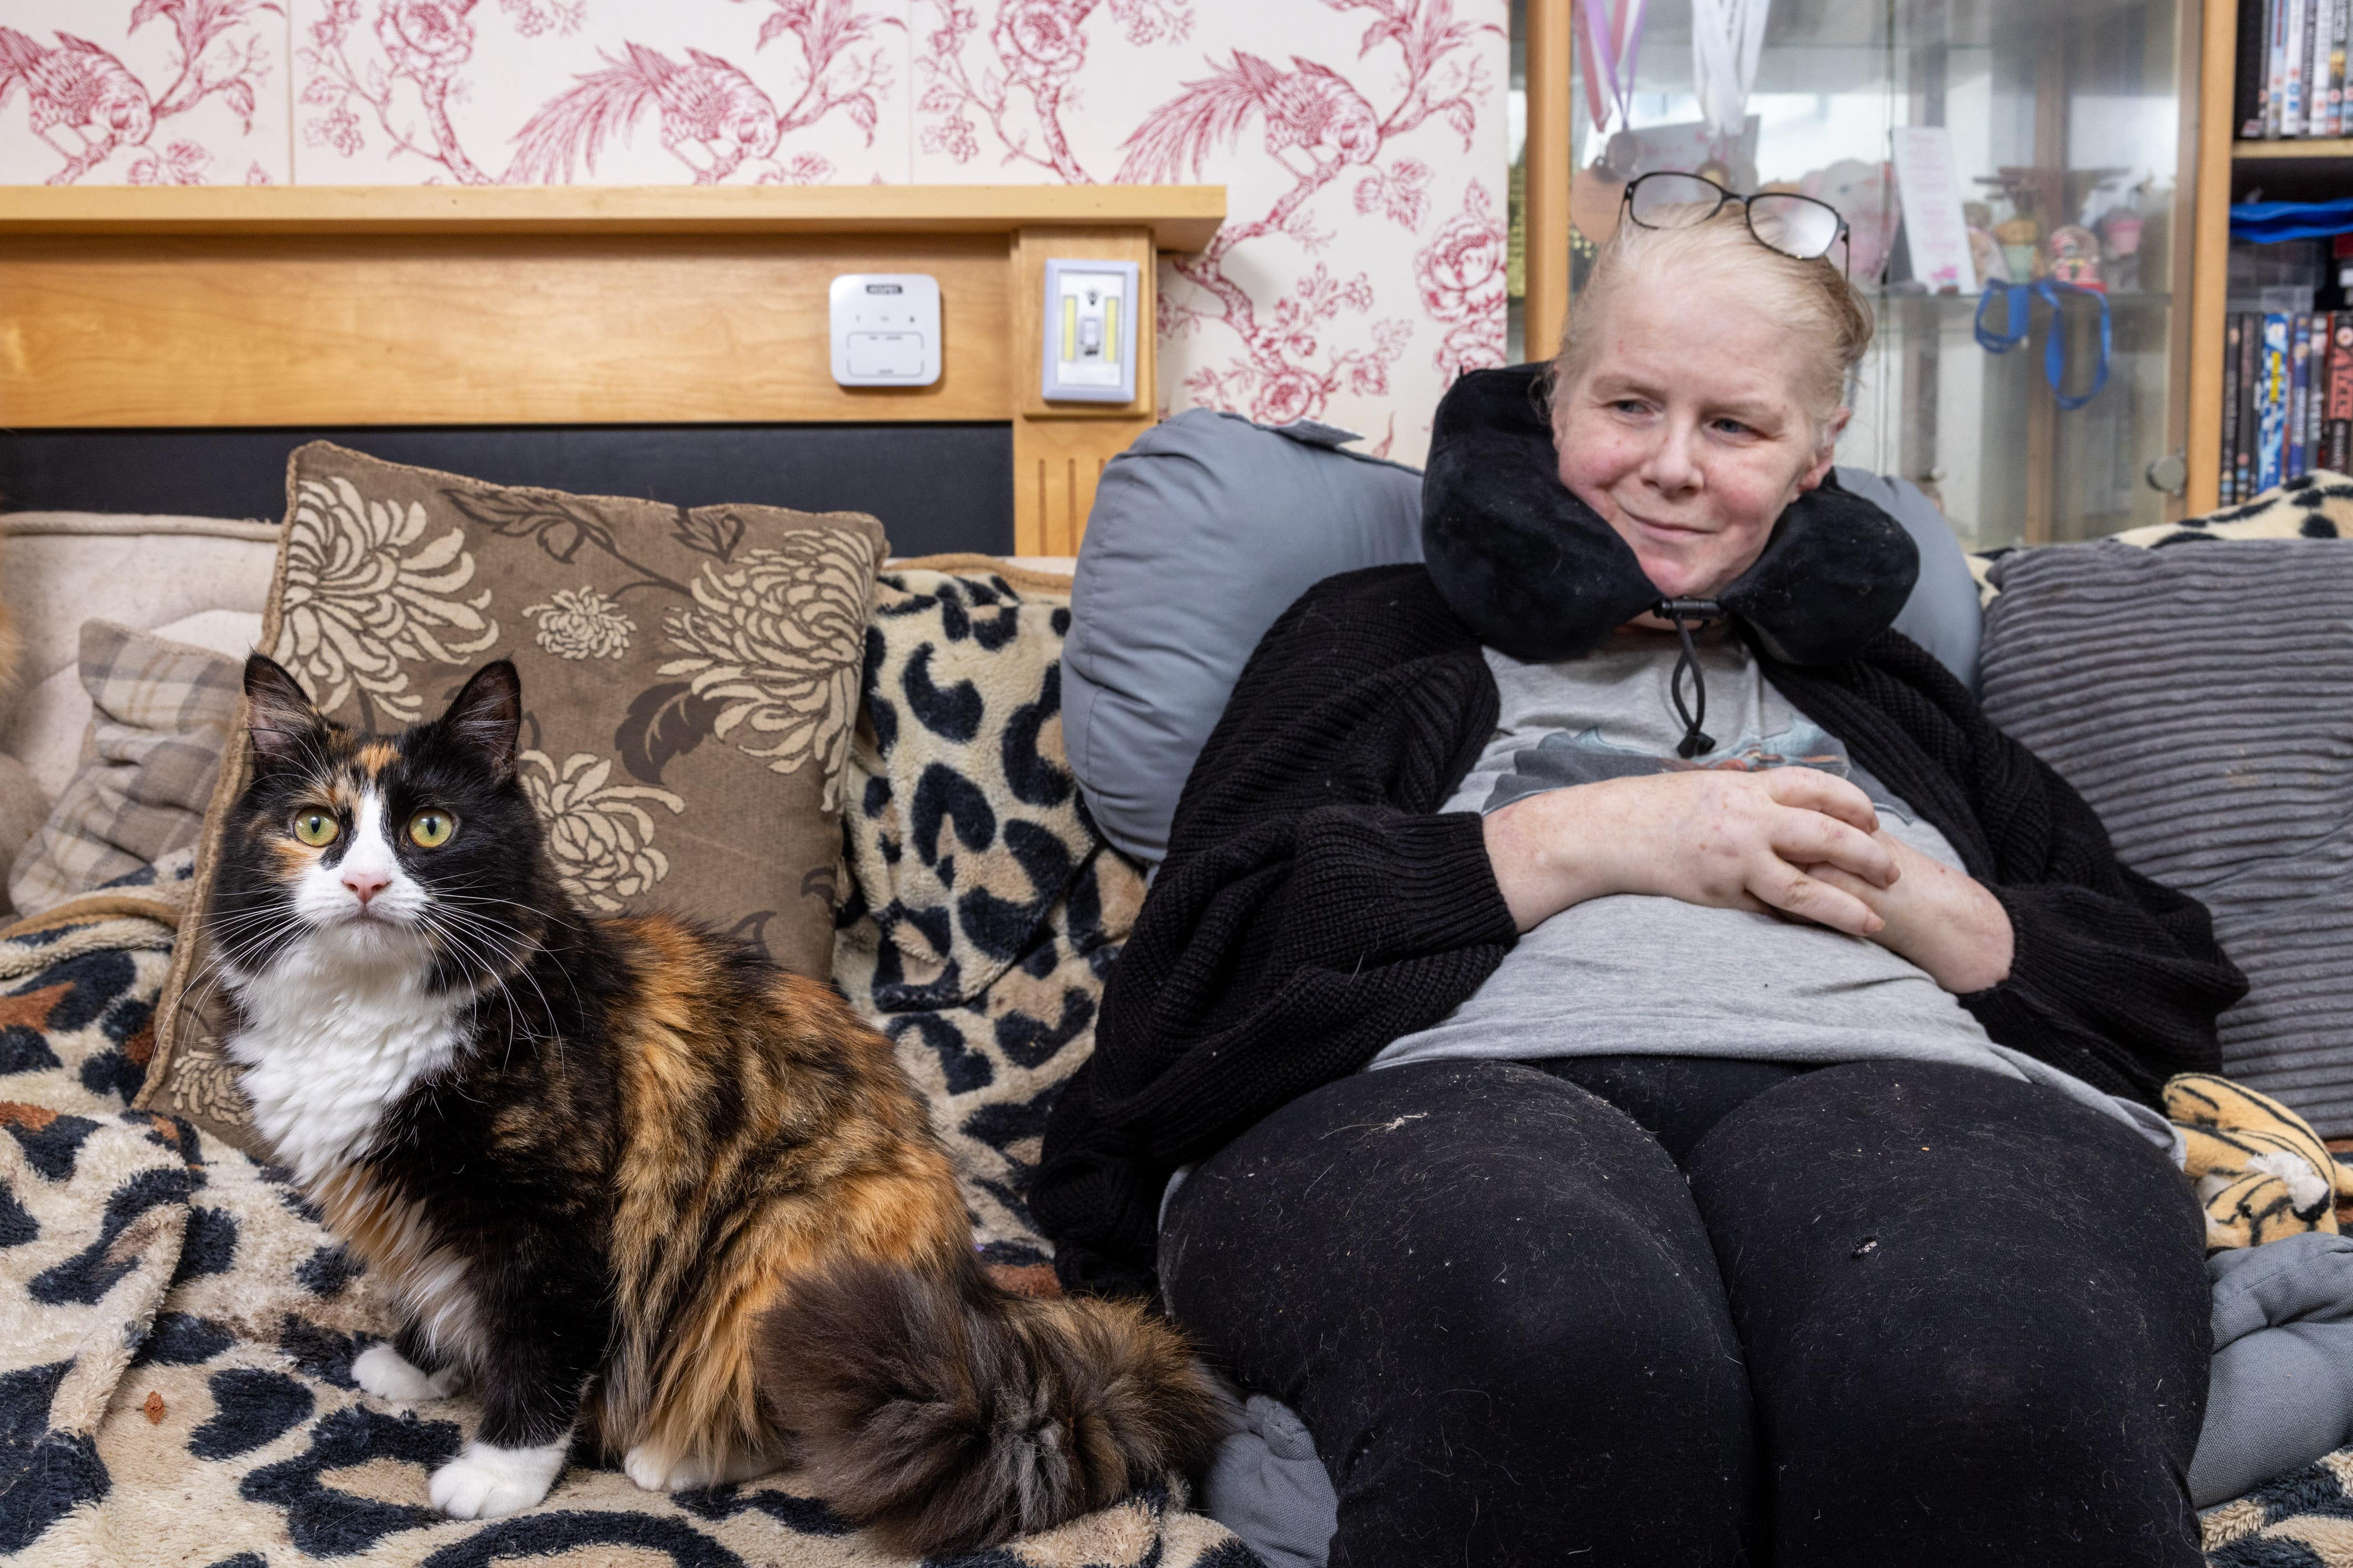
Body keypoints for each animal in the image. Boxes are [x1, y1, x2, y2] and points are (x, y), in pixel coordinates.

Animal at [209, 658, 1224, 1551]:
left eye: (429, 828)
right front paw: (415, 1363)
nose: (365, 883)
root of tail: (978, 1315)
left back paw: (674, 1457)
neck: (368, 1011)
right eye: (315, 824)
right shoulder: (427, 1212)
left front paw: (497, 1475)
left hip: (782, 1251)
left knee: (798, 1419)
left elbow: (539, 1351)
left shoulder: (553, 1219)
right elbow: (433, 1283)